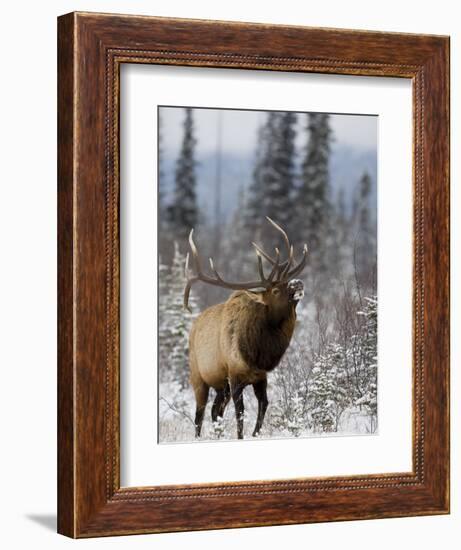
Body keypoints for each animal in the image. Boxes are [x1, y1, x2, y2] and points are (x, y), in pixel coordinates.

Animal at [184, 218, 310, 442]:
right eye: (275, 290)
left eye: (287, 282)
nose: (298, 283)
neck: (258, 353)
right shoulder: (235, 376)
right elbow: (240, 413)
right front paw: (241, 436)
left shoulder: (260, 377)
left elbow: (263, 406)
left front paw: (255, 433)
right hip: (198, 376)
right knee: (200, 413)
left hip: (221, 385)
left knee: (215, 411)